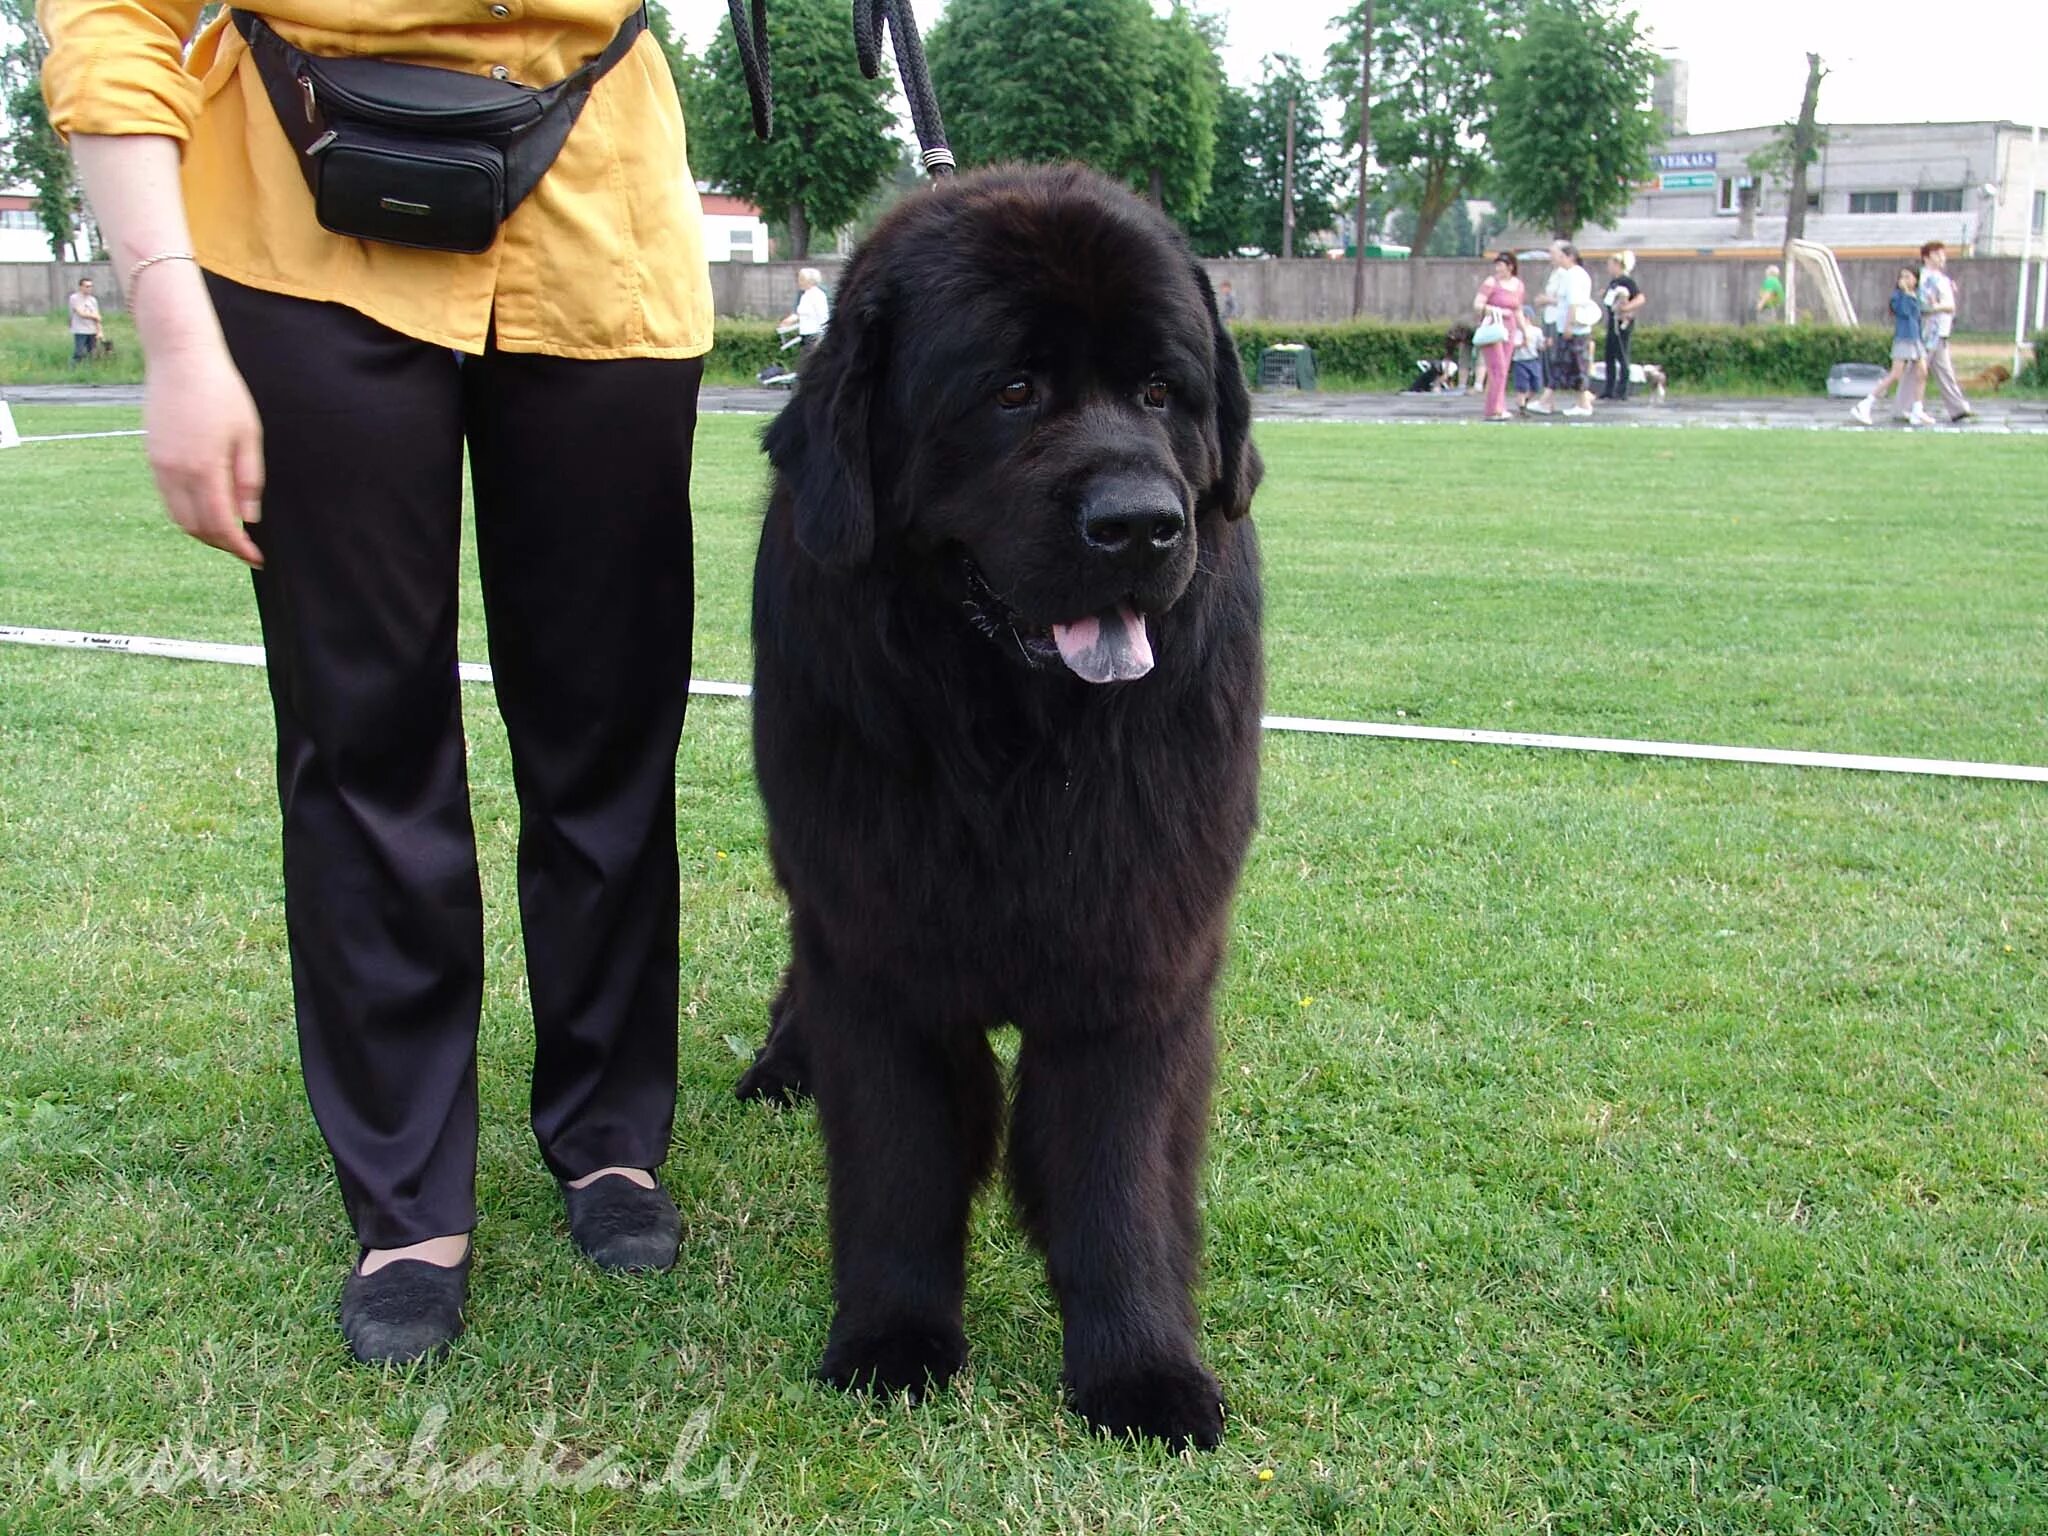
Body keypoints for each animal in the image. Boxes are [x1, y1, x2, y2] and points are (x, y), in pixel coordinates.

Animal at [729, 165, 1253, 1458]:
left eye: (1160, 391)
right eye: (1011, 392)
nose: (1138, 525)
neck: (1017, 749)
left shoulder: (1138, 947)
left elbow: (1118, 1172)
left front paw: (1140, 1371)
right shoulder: (873, 935)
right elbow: (899, 1159)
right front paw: (891, 1341)